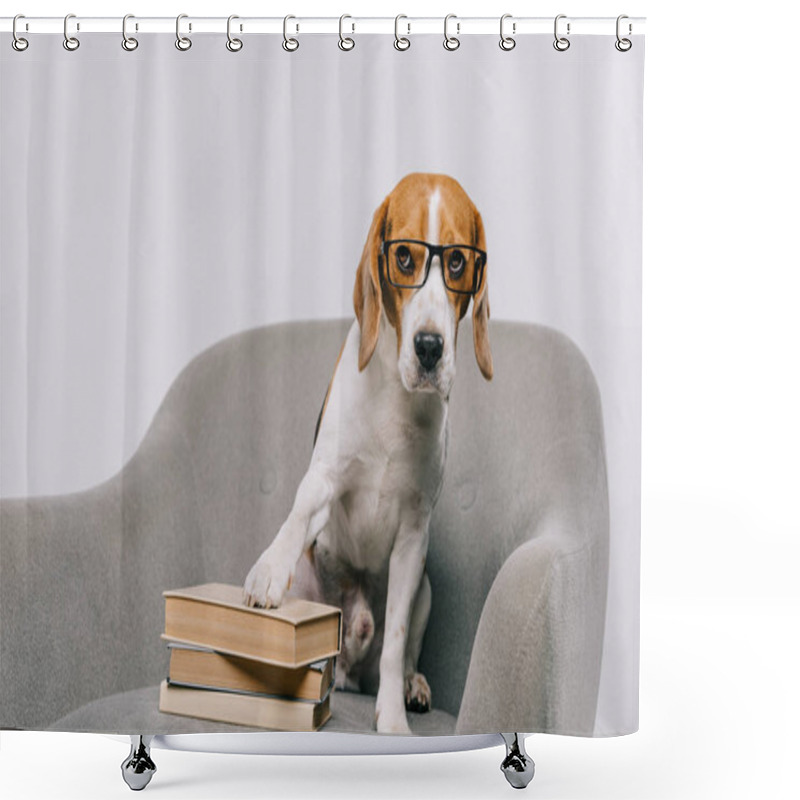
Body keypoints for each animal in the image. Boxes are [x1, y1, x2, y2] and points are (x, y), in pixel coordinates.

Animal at [244, 172, 490, 736]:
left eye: (457, 262)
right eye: (403, 256)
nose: (430, 348)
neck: (396, 398)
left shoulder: (414, 536)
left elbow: (396, 642)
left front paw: (394, 719)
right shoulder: (324, 478)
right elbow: (297, 515)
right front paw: (267, 567)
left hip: (425, 589)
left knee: (399, 653)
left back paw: (412, 685)